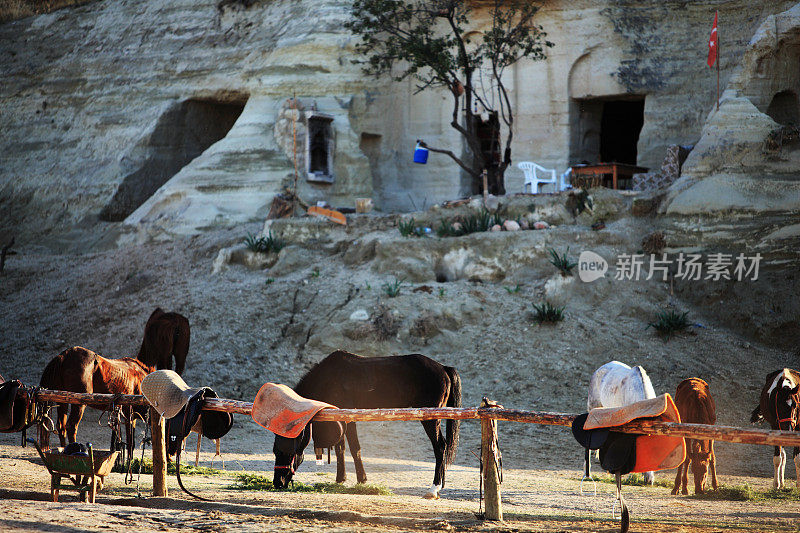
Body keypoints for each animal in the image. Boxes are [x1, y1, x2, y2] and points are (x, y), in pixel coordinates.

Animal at [270, 350, 462, 498]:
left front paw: (361, 479)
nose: (277, 482)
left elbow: (355, 448)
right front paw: (340, 479)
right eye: (275, 451)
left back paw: (433, 488)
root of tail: (444, 368)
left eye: (285, 451)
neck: (329, 378)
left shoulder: (349, 417)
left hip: (430, 419)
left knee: (440, 447)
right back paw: (441, 485)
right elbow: (340, 449)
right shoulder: (338, 418)